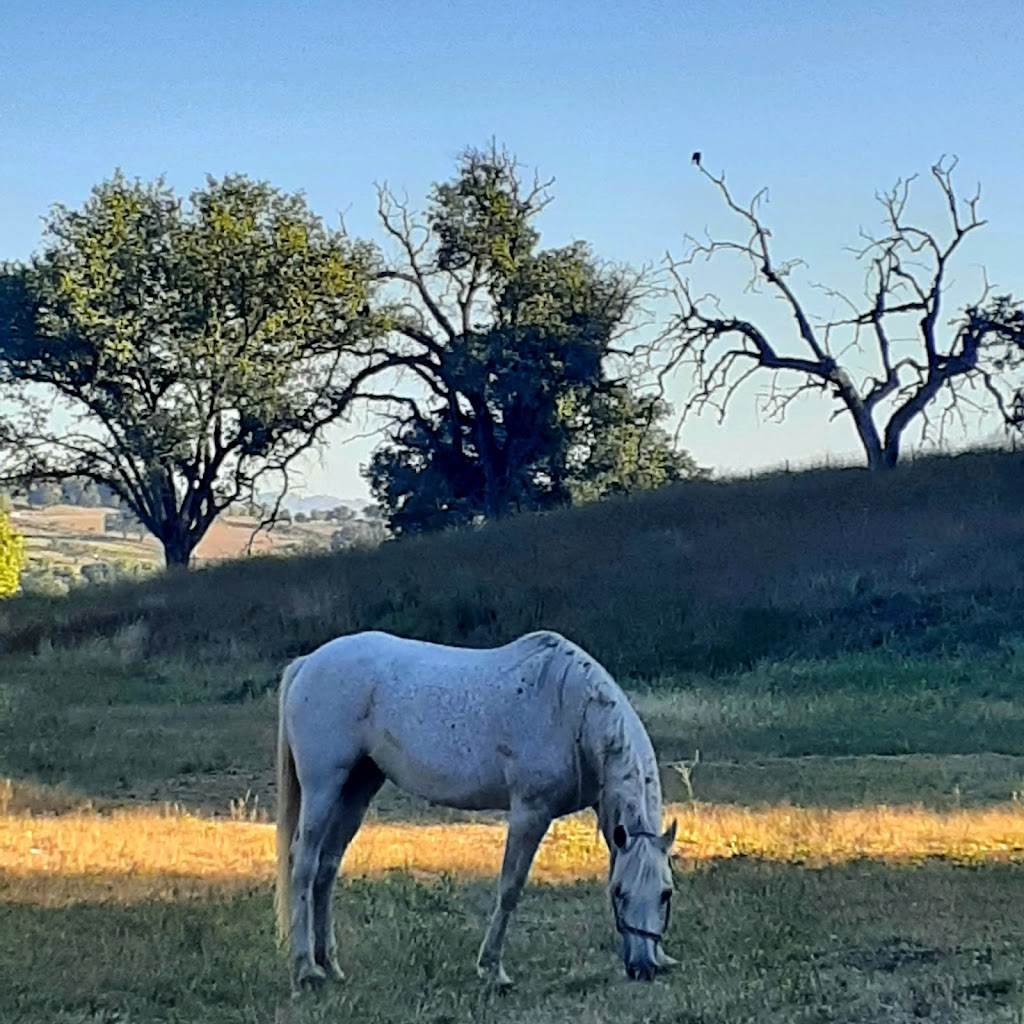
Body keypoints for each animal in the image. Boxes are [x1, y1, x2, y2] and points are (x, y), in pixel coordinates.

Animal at [274, 626, 679, 987]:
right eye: (619, 893)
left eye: (666, 893)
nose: (644, 968)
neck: (571, 709)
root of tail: (308, 662)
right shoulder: (531, 811)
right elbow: (510, 887)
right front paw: (492, 970)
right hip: (324, 785)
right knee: (304, 863)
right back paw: (306, 969)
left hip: (358, 786)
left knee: (327, 866)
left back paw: (330, 965)